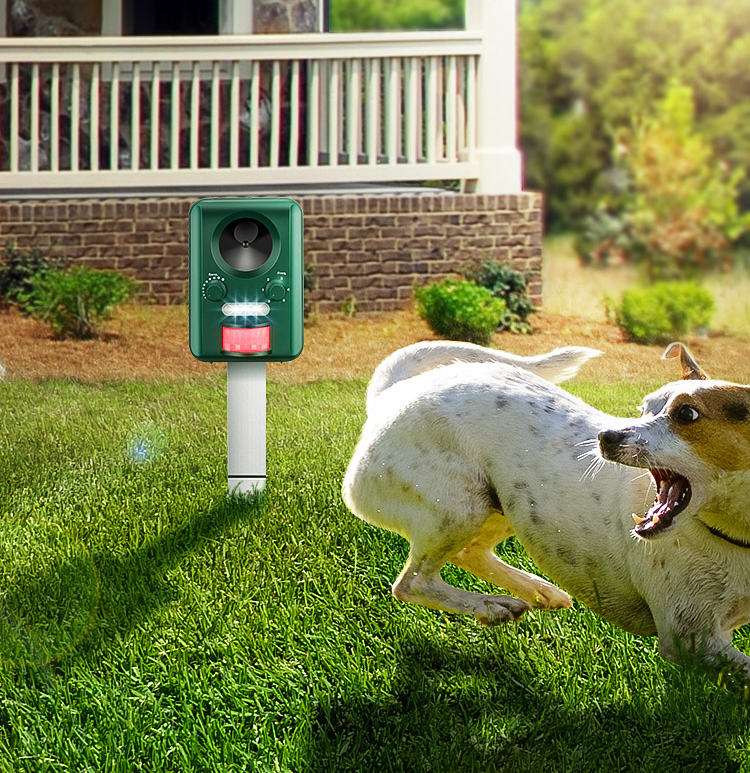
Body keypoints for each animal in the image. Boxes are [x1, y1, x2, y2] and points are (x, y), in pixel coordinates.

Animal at [344, 340, 750, 680]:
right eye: (644, 408)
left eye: (687, 414)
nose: (607, 436)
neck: (733, 536)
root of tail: (393, 393)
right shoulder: (690, 639)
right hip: (459, 507)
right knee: (412, 583)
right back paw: (491, 606)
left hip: (506, 506)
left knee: (469, 552)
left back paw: (537, 590)